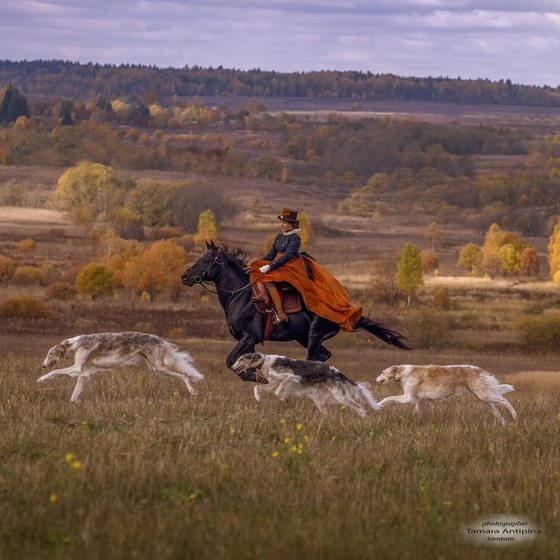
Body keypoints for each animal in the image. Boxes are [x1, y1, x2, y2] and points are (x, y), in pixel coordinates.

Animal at [40, 332, 206, 402]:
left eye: (50, 353)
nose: (43, 366)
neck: (75, 344)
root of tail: (160, 339)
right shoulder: (85, 373)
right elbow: (75, 394)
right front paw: (72, 403)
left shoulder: (77, 368)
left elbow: (56, 371)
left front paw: (42, 379)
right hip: (156, 366)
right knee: (184, 373)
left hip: (159, 367)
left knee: (184, 375)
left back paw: (192, 390)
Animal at [180, 241, 412, 380]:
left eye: (207, 260)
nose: (185, 276)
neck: (241, 296)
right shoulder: (248, 340)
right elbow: (246, 362)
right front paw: (258, 379)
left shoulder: (250, 336)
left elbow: (230, 361)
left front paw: (256, 378)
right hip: (304, 337)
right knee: (323, 356)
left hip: (314, 334)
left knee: (314, 359)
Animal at [232, 354, 380, 416]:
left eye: (241, 358)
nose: (232, 367)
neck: (265, 361)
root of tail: (337, 372)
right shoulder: (273, 382)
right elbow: (257, 387)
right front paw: (257, 397)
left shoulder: (290, 377)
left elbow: (278, 392)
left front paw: (284, 398)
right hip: (320, 401)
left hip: (341, 396)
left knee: (360, 408)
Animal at [374, 364, 520, 424]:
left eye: (382, 372)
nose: (375, 380)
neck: (403, 372)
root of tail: (479, 369)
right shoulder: (419, 401)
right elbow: (417, 412)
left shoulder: (408, 398)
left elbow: (388, 398)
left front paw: (377, 404)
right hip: (483, 399)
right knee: (498, 413)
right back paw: (503, 424)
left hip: (484, 396)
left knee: (506, 401)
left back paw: (515, 416)